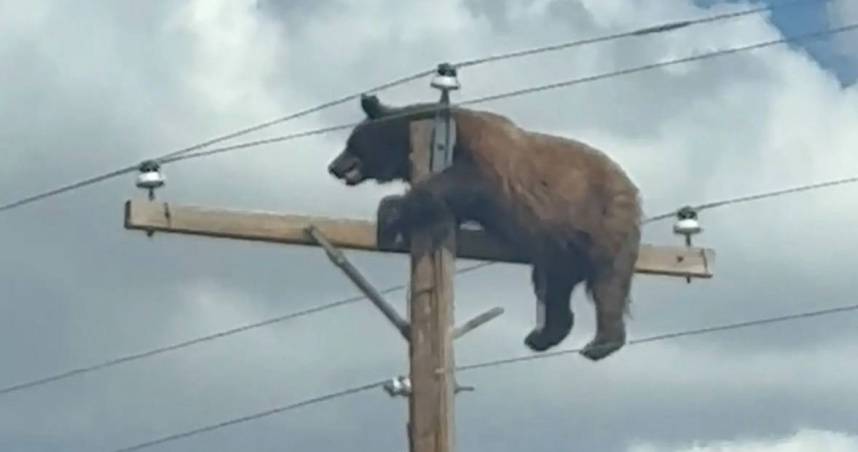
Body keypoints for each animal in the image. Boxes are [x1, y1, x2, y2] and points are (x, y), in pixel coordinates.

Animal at [327, 94, 642, 361]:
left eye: (351, 142)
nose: (333, 166)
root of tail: (631, 187)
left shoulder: (484, 157)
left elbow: (464, 181)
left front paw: (389, 212)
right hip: (558, 245)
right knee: (554, 286)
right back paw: (542, 335)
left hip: (603, 219)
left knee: (608, 281)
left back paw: (600, 343)